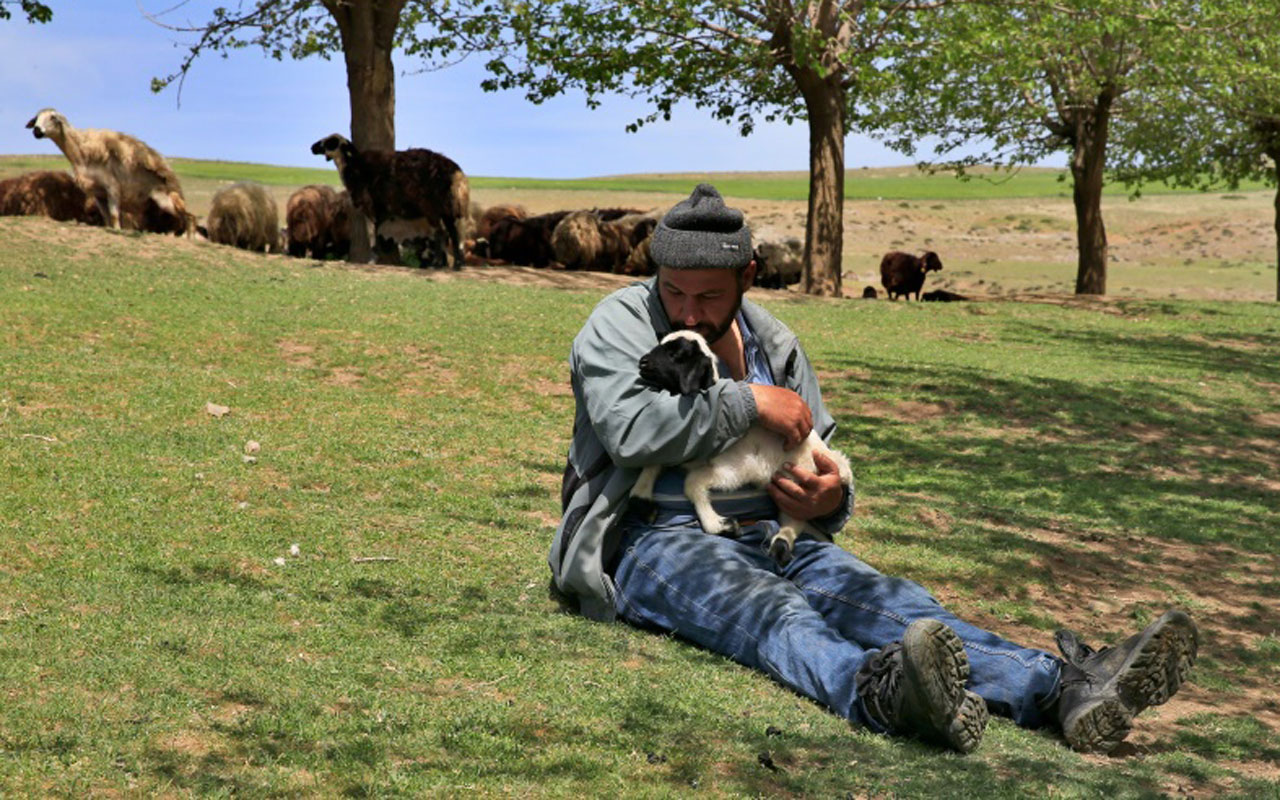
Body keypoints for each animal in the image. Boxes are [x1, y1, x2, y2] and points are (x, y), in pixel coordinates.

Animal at [25, 106, 192, 232]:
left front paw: (117, 230)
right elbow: (107, 218)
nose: (36, 131)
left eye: (53, 117)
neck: (81, 152)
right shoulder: (98, 193)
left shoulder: (112, 187)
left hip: (166, 201)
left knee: (188, 217)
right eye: (36, 118)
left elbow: (114, 216)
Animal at [309, 131, 471, 268]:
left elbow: (372, 235)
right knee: (454, 234)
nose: (312, 147)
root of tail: (457, 173)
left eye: (331, 142)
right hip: (448, 209)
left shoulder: (370, 207)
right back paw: (457, 264)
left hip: (432, 208)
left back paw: (437, 264)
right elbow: (378, 233)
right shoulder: (381, 212)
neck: (353, 166)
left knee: (441, 234)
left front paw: (372, 259)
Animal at [627, 327, 849, 565]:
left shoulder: (736, 468)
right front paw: (642, 501)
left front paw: (720, 526)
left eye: (676, 354)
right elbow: (654, 461)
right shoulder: (678, 449)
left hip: (799, 481)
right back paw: (780, 545)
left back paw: (781, 543)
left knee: (796, 518)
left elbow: (692, 482)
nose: (642, 362)